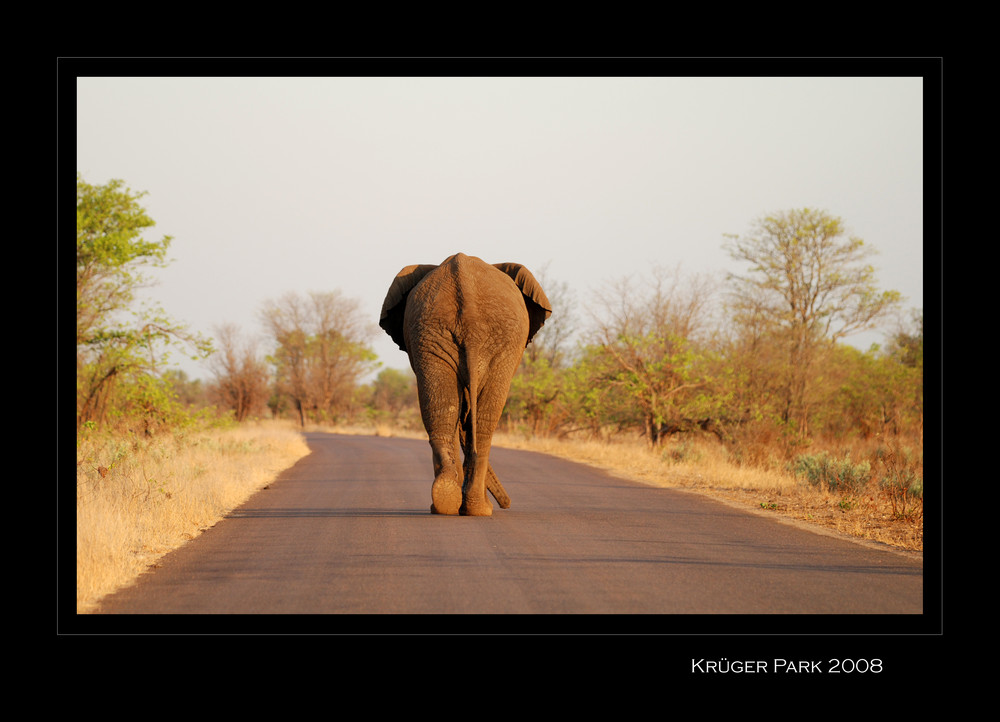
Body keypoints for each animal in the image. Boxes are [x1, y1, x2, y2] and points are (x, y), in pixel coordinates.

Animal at [382, 252, 556, 512]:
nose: (507, 504)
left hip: (432, 333)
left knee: (444, 410)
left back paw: (446, 502)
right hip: (465, 338)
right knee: (482, 422)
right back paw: (478, 509)